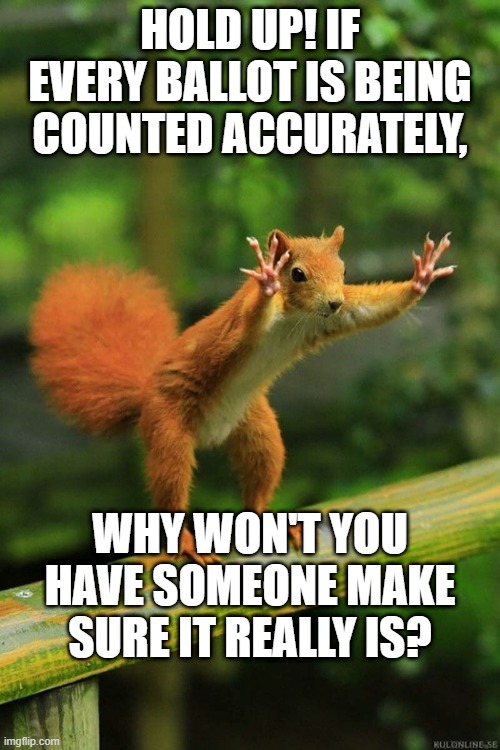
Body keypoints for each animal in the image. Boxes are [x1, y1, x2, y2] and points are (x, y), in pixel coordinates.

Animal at [30, 227, 454, 561]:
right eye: (297, 273)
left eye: (344, 271)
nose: (334, 302)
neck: (294, 317)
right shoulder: (239, 326)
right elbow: (249, 319)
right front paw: (267, 279)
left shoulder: (331, 319)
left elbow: (369, 309)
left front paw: (422, 277)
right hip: (168, 428)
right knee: (170, 483)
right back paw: (185, 543)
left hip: (256, 428)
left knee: (260, 474)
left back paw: (268, 520)